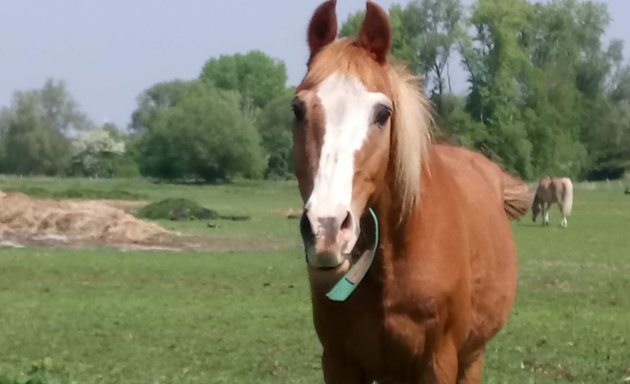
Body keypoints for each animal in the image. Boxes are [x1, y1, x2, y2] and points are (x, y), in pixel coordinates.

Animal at [294, 1, 536, 382]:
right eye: (297, 109)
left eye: (382, 113)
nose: (327, 229)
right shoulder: (338, 361)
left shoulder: (438, 362)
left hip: (472, 356)